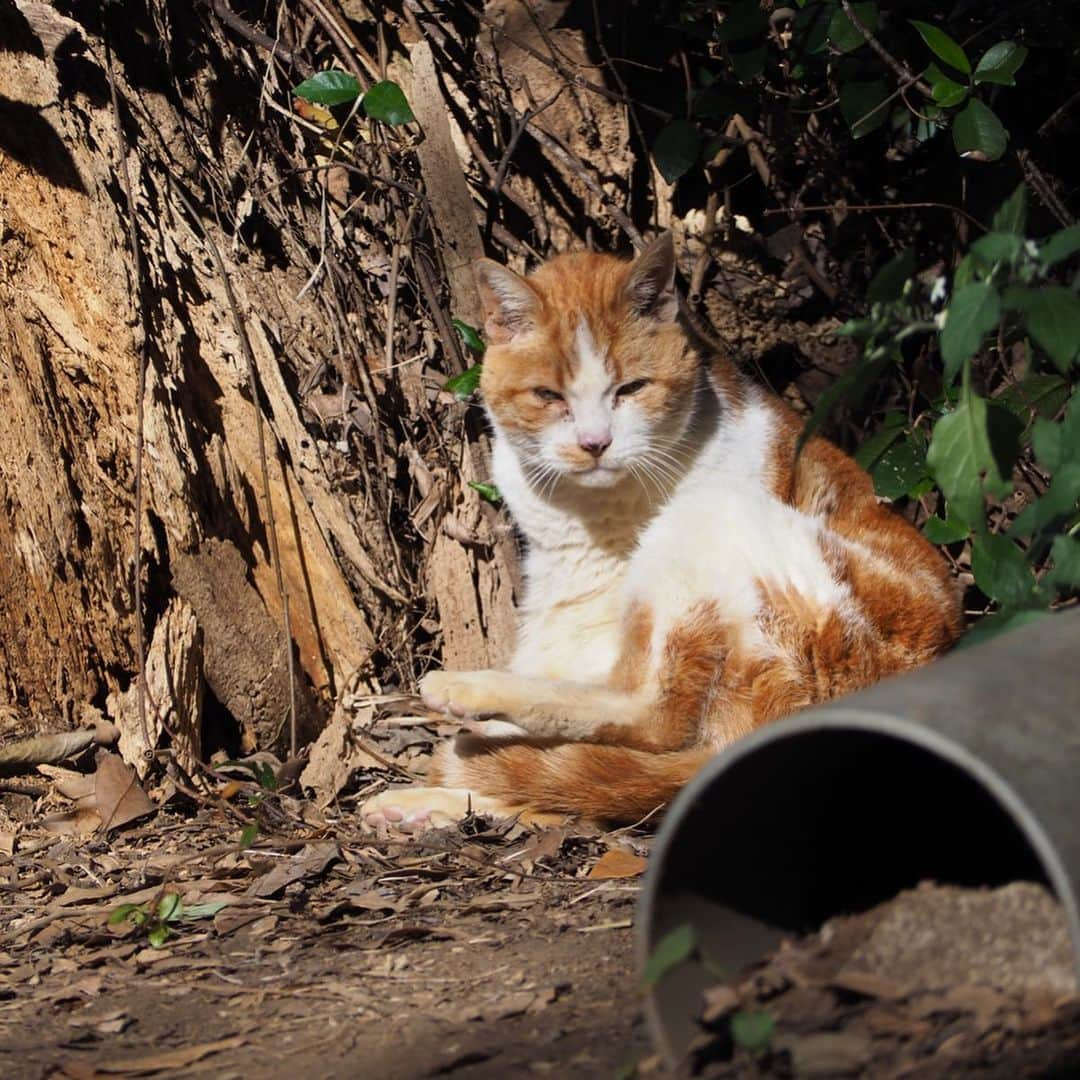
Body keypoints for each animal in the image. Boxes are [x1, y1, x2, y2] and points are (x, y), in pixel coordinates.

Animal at [362, 232, 963, 829]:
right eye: (549, 397)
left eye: (630, 389)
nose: (594, 443)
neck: (593, 512)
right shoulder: (563, 601)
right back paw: (425, 801)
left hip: (712, 522)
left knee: (654, 718)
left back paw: (469, 693)